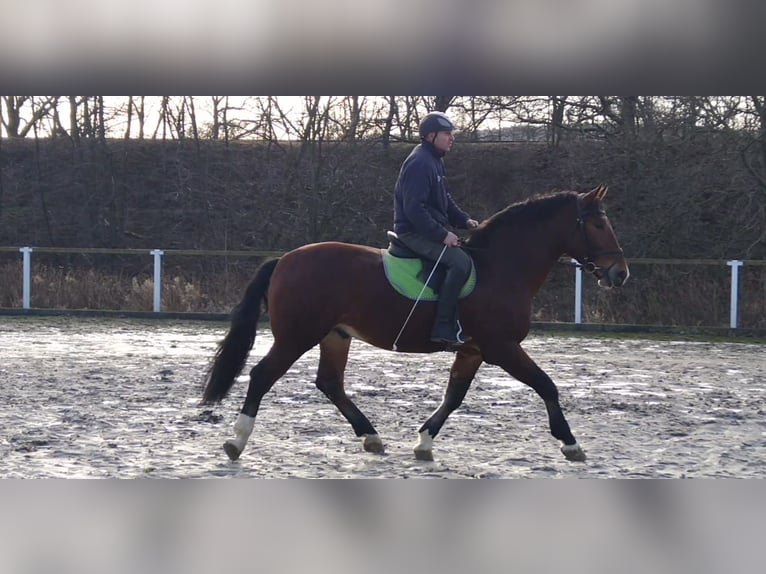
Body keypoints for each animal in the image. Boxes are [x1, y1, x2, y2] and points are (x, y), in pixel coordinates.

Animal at [202, 187, 632, 466]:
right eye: (597, 225)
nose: (620, 273)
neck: (501, 267)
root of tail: (285, 260)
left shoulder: (473, 350)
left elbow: (455, 396)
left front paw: (424, 442)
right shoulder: (503, 347)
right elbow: (546, 385)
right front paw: (570, 444)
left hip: (335, 336)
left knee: (330, 383)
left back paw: (372, 437)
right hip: (297, 336)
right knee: (262, 375)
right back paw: (237, 441)